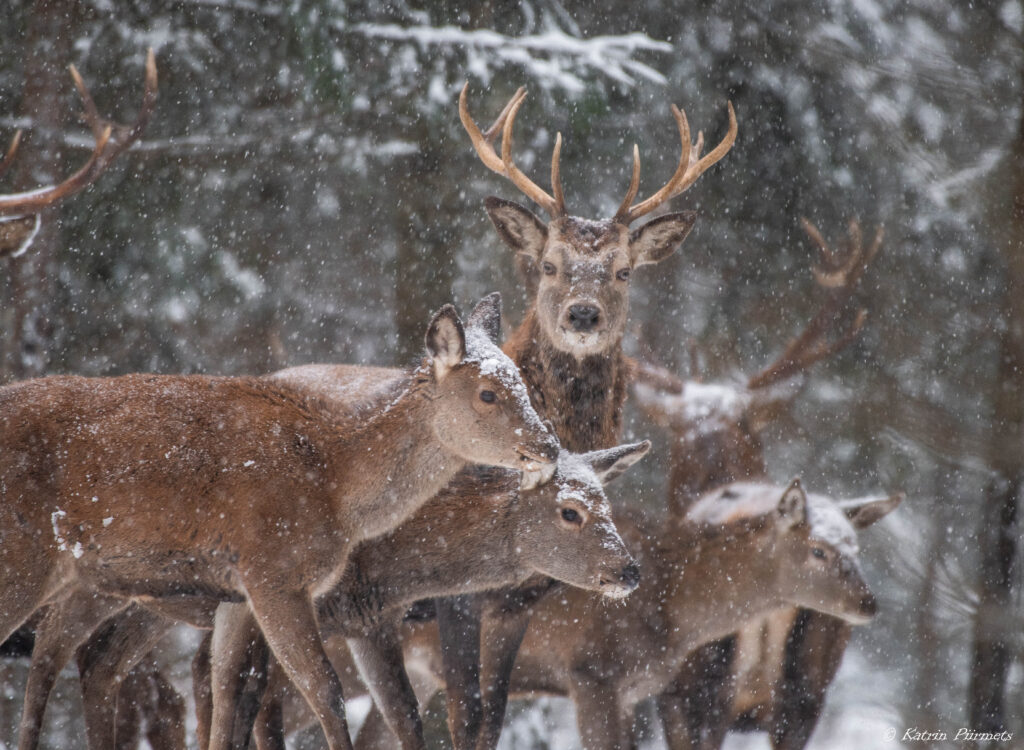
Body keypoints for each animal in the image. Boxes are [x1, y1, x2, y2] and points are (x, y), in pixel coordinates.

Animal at [2, 295, 561, 750]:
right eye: (487, 393)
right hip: (24, 555)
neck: (333, 481)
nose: (549, 446)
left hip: (85, 576)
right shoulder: (273, 571)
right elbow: (324, 690)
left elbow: (230, 688)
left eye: (521, 381)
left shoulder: (240, 591)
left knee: (56, 655)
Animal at [364, 477, 901, 745]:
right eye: (818, 551)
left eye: (856, 547)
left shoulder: (630, 690)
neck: (674, 612)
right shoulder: (591, 671)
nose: (868, 603)